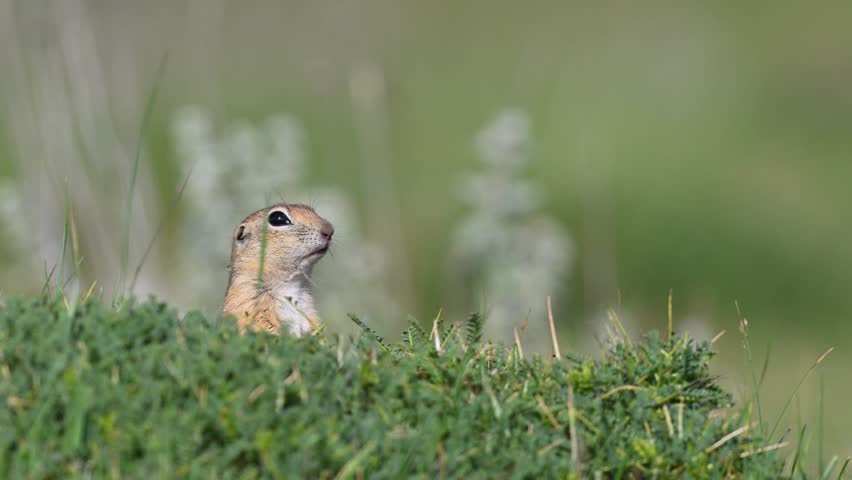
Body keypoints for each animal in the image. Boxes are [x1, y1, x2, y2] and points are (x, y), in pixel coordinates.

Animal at [223, 203, 334, 336]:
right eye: (278, 218)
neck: (291, 284)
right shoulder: (248, 299)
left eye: (312, 211)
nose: (329, 229)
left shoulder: (310, 311)